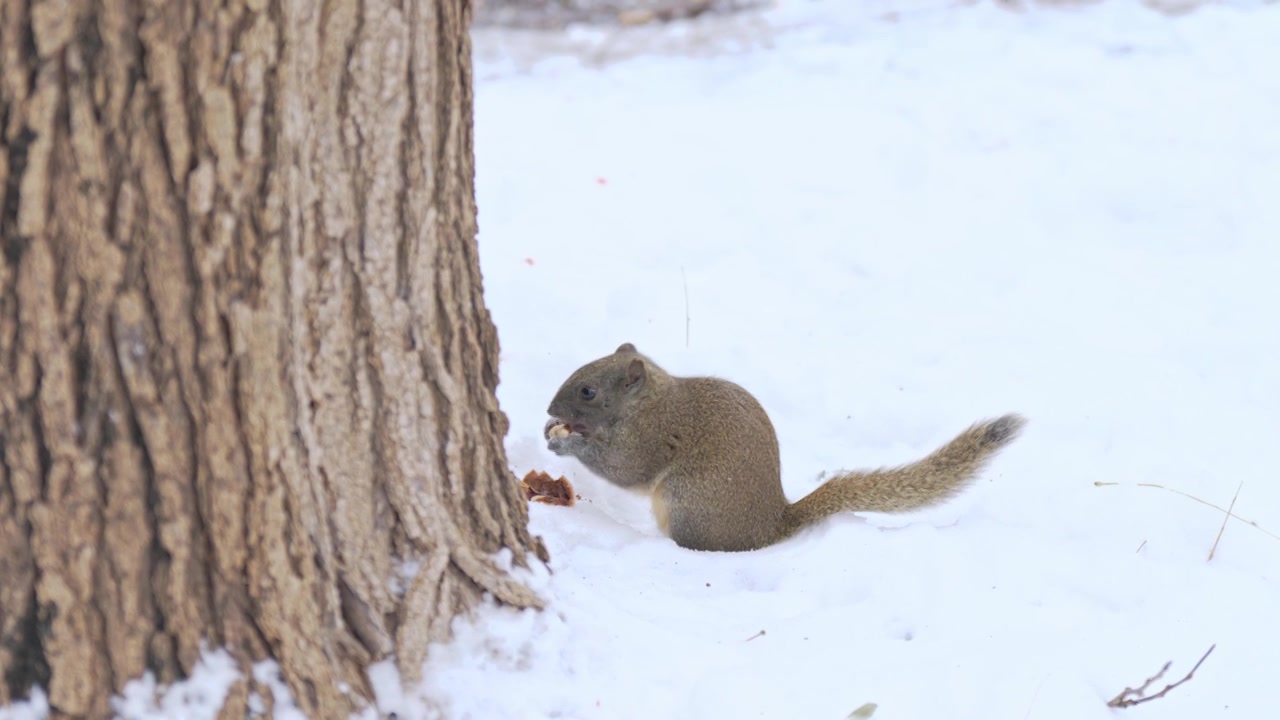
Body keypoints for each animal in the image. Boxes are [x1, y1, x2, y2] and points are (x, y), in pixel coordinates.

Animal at [545, 340, 1024, 548]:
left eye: (588, 391)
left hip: (687, 504)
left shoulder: (649, 439)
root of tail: (772, 524)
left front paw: (566, 446)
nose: (550, 408)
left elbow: (623, 470)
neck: (648, 402)